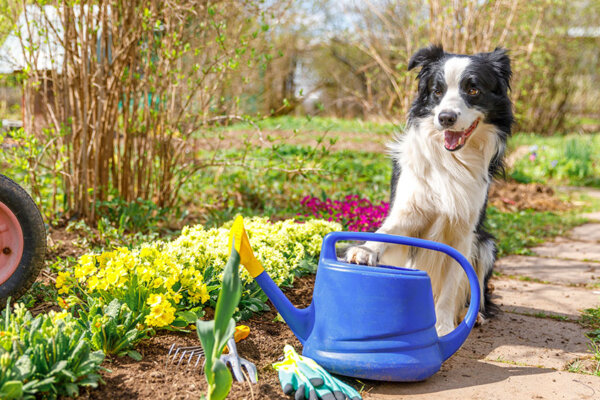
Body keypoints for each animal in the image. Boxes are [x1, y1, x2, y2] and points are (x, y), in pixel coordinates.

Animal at [344, 45, 512, 336]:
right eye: (437, 91)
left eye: (473, 89)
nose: (445, 118)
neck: (452, 159)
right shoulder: (410, 210)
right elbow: (387, 232)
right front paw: (364, 250)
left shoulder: (464, 232)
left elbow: (453, 283)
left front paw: (444, 326)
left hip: (486, 245)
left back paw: (472, 316)